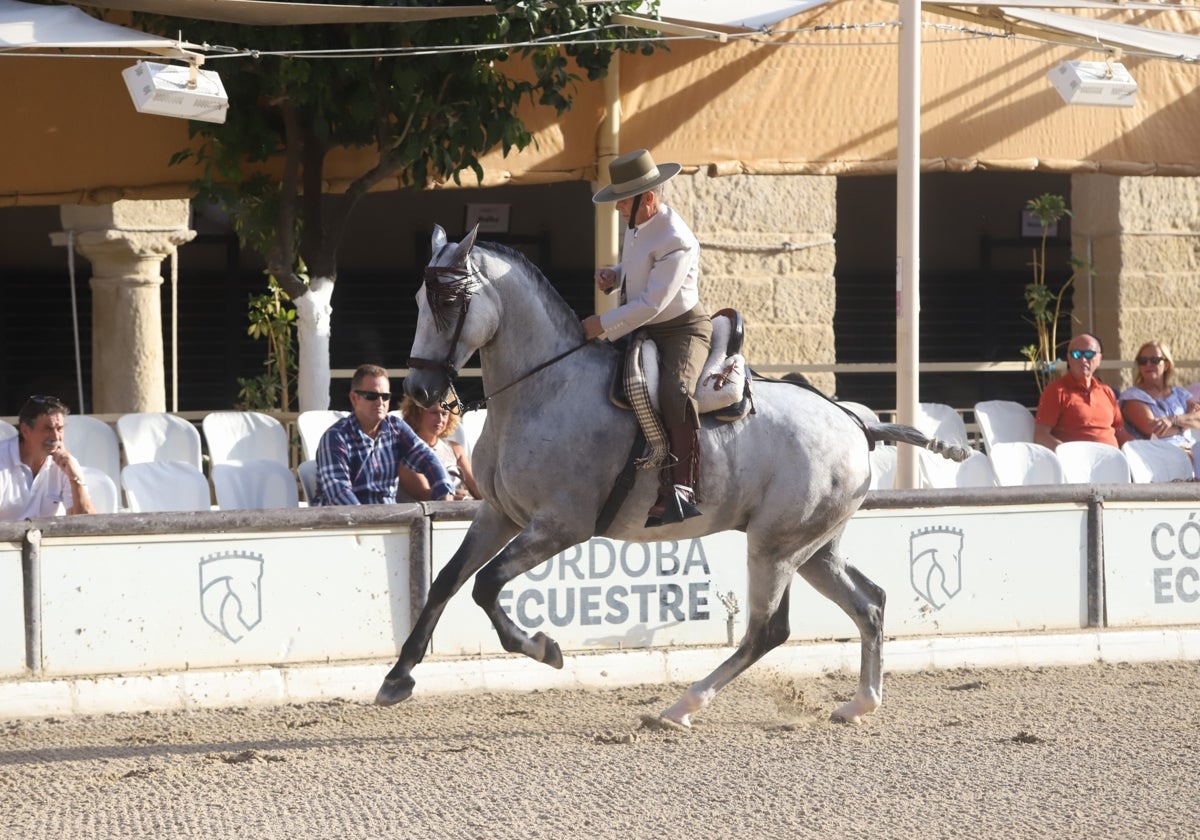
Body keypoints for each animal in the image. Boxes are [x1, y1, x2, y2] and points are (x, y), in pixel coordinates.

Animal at [374, 224, 964, 729]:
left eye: (450, 302)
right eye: (419, 301)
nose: (420, 391)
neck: (545, 389)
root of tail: (855, 421)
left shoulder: (559, 527)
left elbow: (486, 584)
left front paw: (544, 648)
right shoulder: (499, 514)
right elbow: (447, 581)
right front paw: (397, 677)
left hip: (775, 547)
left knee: (768, 630)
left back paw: (681, 706)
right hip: (814, 547)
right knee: (869, 603)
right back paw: (860, 702)